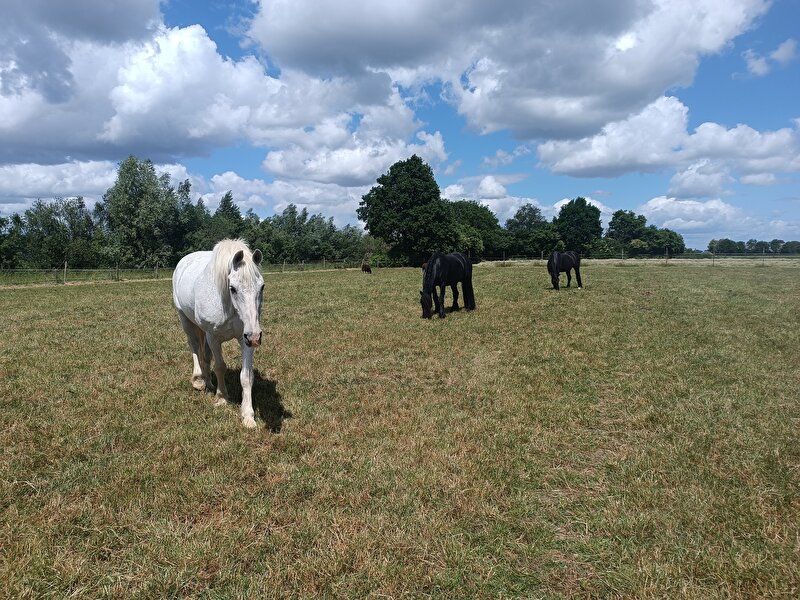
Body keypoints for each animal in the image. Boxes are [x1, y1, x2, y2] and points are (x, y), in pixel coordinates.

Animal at [172, 239, 265, 428]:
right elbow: (220, 366)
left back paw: (208, 382)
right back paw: (199, 380)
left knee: (206, 356)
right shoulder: (213, 337)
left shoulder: (245, 338)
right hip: (185, 320)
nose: (255, 337)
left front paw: (248, 415)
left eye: (262, 287)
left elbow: (246, 376)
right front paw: (222, 398)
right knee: (194, 348)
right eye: (233, 288)